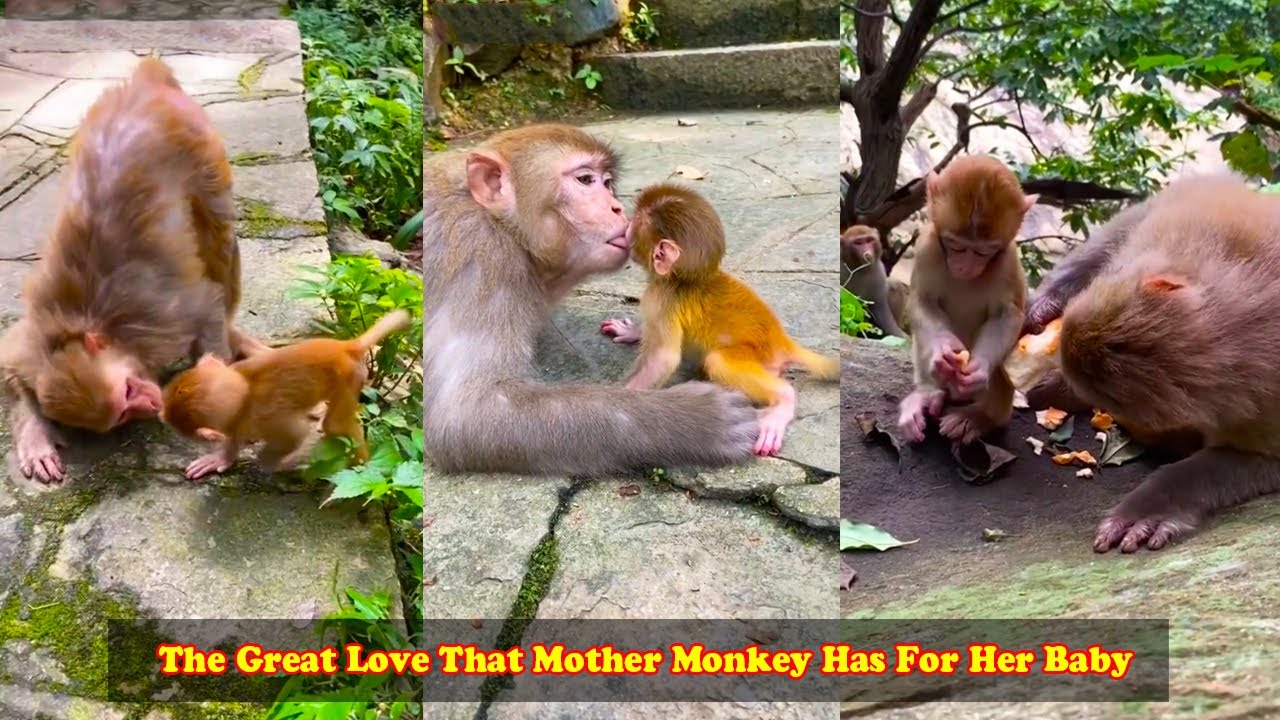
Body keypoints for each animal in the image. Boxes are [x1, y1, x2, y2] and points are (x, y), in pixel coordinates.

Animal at [0, 58, 264, 485]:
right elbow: (8, 366)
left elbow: (207, 310)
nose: (151, 404)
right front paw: (35, 435)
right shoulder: (34, 343)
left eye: (125, 394)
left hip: (201, 147)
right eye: (123, 411)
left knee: (218, 243)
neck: (96, 327)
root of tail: (145, 83)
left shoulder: (164, 318)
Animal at [160, 310, 412, 481]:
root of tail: (346, 347)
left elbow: (294, 436)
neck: (244, 388)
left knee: (336, 424)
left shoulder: (264, 417)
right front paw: (224, 457)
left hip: (351, 376)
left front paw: (273, 463)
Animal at [422, 123, 760, 477]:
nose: (618, 208)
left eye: (607, 183)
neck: (505, 227)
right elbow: (465, 414)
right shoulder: (481, 256)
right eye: (585, 180)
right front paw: (696, 417)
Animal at [599, 183, 839, 457]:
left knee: (718, 362)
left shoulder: (661, 299)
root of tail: (783, 342)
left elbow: (663, 358)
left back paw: (782, 401)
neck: (679, 279)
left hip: (760, 358)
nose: (624, 223)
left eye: (633, 225)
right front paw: (632, 332)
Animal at [897, 155, 1039, 446]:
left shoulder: (1007, 262)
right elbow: (923, 301)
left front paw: (980, 368)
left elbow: (1007, 316)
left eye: (984, 252)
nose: (965, 267)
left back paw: (978, 417)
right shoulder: (928, 247)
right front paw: (942, 349)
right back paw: (928, 395)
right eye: (956, 245)